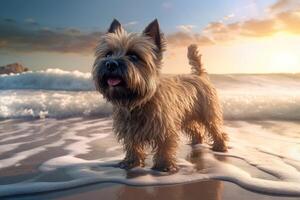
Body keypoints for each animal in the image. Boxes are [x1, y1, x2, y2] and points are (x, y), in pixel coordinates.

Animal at [92, 19, 227, 172]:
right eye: (108, 54)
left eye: (133, 56)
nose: (110, 64)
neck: (138, 101)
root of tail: (199, 76)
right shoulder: (129, 129)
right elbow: (132, 145)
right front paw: (132, 162)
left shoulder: (165, 127)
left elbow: (164, 146)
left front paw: (164, 165)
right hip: (188, 115)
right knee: (196, 129)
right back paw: (196, 142)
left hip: (208, 113)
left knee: (215, 129)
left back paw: (220, 146)